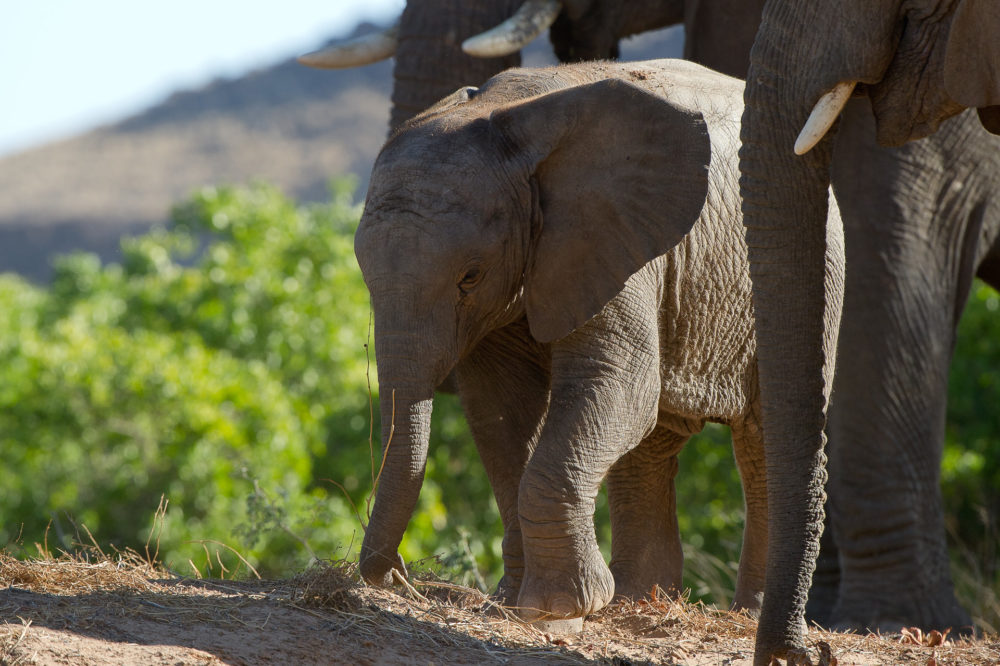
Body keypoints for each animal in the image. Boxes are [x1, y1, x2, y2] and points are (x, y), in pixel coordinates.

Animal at [355, 58, 845, 662]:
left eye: (470, 277)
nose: (398, 575)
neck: (507, 123)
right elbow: (500, 411)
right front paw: (517, 603)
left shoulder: (615, 241)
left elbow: (616, 384)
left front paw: (559, 608)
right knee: (651, 445)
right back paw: (640, 601)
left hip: (820, 267)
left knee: (757, 439)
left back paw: (740, 613)